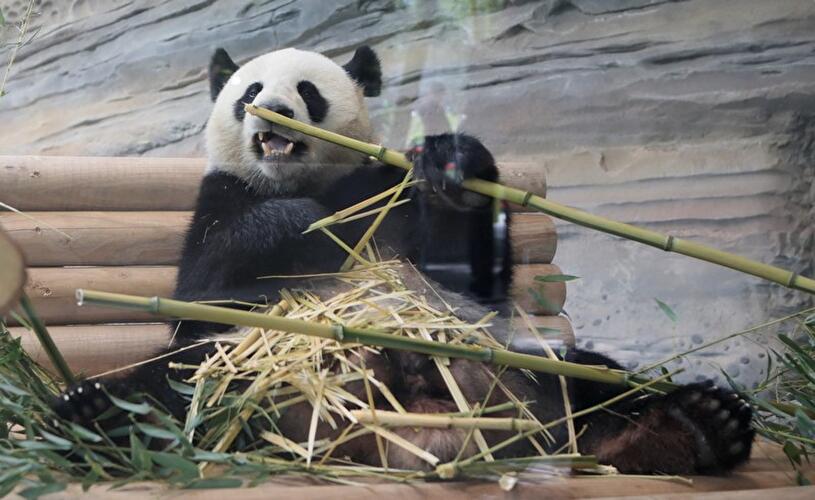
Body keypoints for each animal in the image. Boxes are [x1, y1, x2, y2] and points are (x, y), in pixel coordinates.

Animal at [54, 45, 754, 474]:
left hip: (522, 370)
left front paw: (452, 164)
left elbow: (465, 269)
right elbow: (206, 294)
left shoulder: (385, 188)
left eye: (306, 91)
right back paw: (96, 418)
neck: (298, 180)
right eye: (249, 90)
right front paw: (297, 223)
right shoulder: (218, 203)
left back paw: (697, 426)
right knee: (181, 386)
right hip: (238, 380)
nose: (274, 113)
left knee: (592, 388)